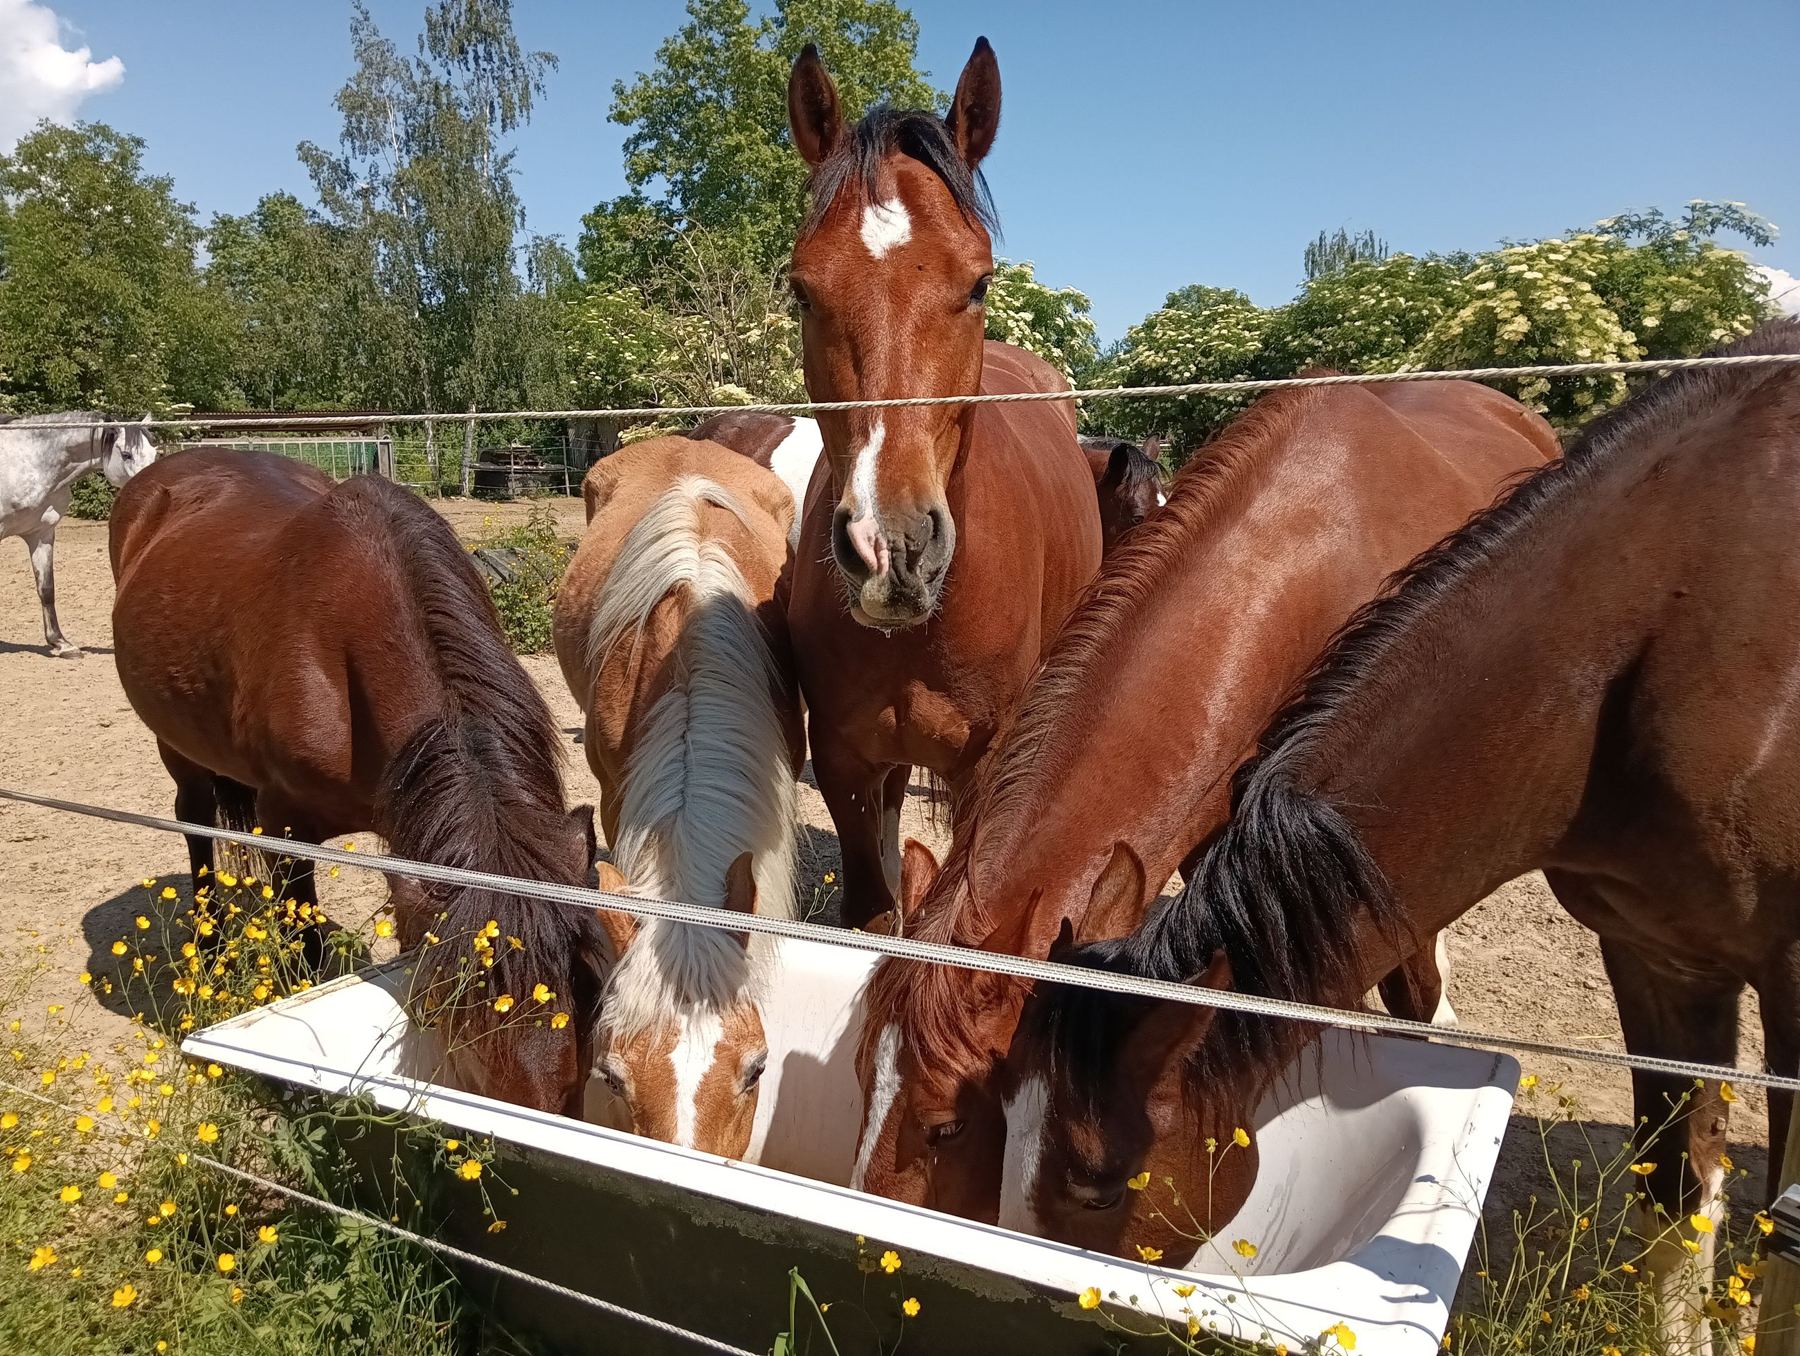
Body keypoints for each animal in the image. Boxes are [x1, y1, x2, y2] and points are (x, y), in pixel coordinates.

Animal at [1, 412, 156, 657]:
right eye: (126, 454)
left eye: (155, 453)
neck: (28, 461)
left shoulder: (40, 534)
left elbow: (46, 589)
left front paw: (61, 644)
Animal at [110, 449, 604, 1115]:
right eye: (463, 998)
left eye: (584, 975)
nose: (544, 1107)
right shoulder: (285, 824)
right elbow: (306, 952)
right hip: (178, 748)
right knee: (196, 826)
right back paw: (207, 953)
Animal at [785, 38, 1103, 928]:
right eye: (801, 290)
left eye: (980, 283)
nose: (891, 548)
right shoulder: (844, 764)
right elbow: (874, 909)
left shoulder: (983, 773)